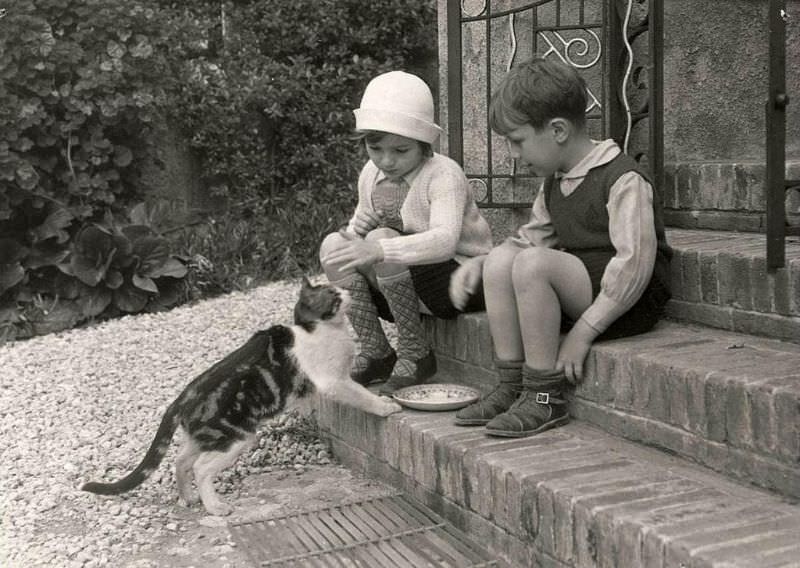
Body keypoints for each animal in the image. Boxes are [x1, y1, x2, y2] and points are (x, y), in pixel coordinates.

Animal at [83, 278, 400, 516]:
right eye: (334, 295)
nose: (347, 290)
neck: (320, 330)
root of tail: (182, 397)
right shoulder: (334, 381)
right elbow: (362, 396)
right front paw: (386, 406)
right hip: (235, 437)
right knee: (200, 468)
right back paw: (215, 507)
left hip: (205, 437)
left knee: (180, 461)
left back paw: (188, 498)